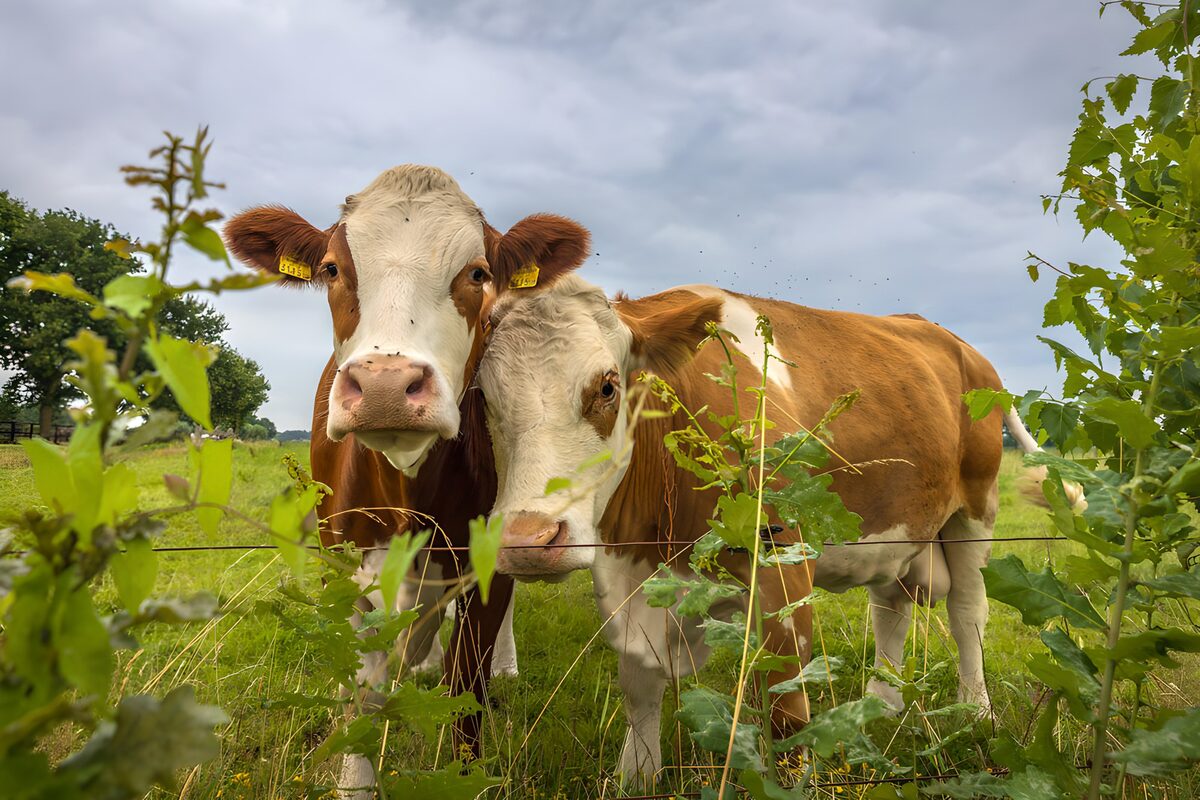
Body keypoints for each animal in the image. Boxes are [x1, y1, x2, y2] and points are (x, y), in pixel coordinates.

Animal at [222, 165, 591, 798]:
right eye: (331, 269)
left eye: (477, 273)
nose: (387, 385)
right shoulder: (345, 566)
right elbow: (363, 695)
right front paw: (354, 779)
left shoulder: (482, 564)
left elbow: (467, 688)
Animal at [476, 274, 1011, 786]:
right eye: (483, 394)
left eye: (607, 387)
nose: (528, 541)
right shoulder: (633, 578)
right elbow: (640, 684)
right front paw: (638, 773)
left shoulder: (782, 563)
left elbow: (786, 710)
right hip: (895, 530)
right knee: (890, 608)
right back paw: (883, 701)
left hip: (975, 511)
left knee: (967, 613)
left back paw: (976, 710)